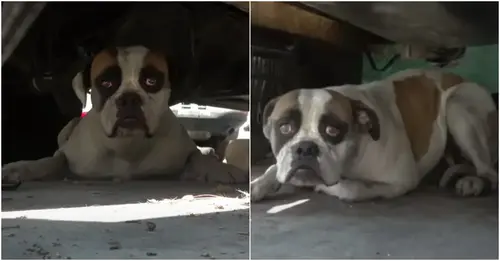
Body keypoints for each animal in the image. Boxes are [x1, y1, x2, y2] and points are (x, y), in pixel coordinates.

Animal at [1, 45, 248, 184]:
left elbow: (195, 157)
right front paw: (20, 168)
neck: (127, 144)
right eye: (106, 83)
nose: (130, 98)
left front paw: (222, 168)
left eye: (151, 81)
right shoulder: (70, 156)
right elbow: (52, 160)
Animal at [252, 67, 498, 201]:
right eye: (284, 128)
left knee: (490, 172)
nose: (305, 148)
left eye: (332, 131)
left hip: (458, 107)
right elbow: (275, 166)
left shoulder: (400, 180)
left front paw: (320, 186)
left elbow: (350, 188)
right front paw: (262, 182)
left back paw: (474, 183)